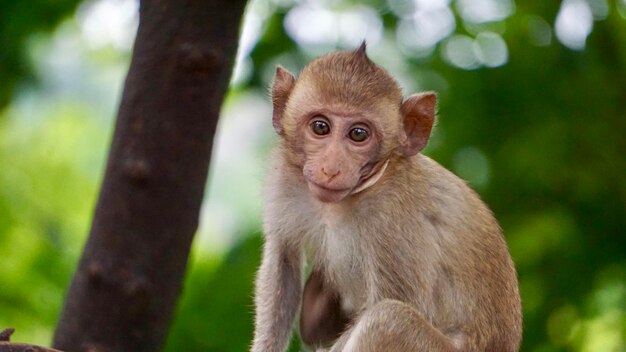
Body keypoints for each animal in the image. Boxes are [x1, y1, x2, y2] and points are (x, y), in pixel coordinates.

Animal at [251, 44, 520, 352]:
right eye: (320, 127)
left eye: (358, 134)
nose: (331, 168)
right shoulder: (283, 178)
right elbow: (283, 260)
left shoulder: (394, 220)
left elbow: (395, 302)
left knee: (388, 319)